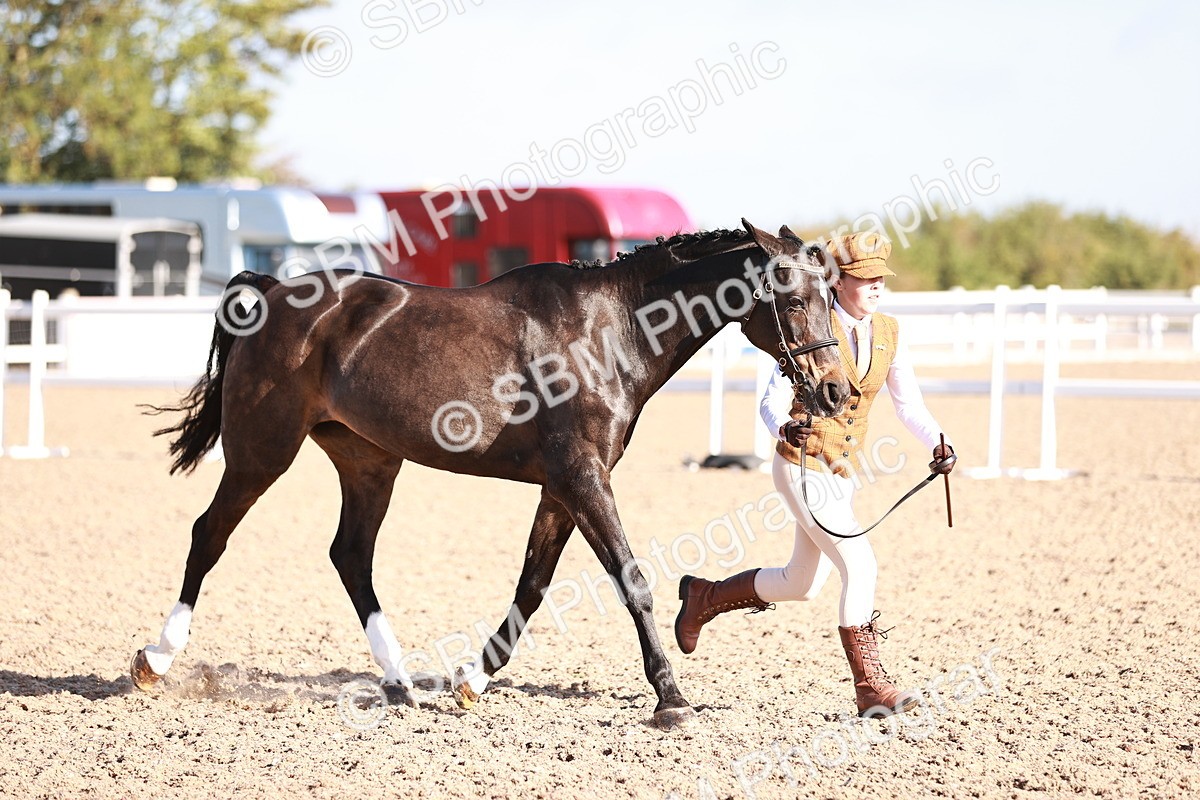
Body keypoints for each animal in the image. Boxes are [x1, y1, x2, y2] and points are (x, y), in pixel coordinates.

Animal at [130, 219, 851, 729]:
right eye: (792, 298)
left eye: (831, 296)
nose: (836, 392)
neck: (614, 330)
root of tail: (275, 294)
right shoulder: (583, 479)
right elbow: (632, 581)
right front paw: (671, 697)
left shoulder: (563, 487)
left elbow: (532, 585)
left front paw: (471, 684)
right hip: (263, 451)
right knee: (209, 536)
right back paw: (154, 661)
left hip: (369, 461)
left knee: (350, 555)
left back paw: (401, 685)